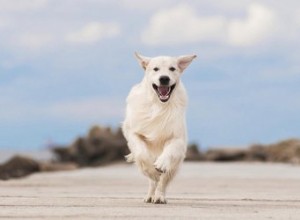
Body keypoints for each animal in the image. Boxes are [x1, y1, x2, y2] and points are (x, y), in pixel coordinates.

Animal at [122, 52, 197, 204]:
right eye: (155, 69)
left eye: (172, 68)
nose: (164, 78)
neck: (159, 105)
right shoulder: (133, 132)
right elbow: (141, 154)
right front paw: (152, 171)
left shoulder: (177, 138)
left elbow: (169, 151)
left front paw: (161, 163)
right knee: (152, 181)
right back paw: (150, 195)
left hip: (175, 165)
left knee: (163, 181)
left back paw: (159, 196)